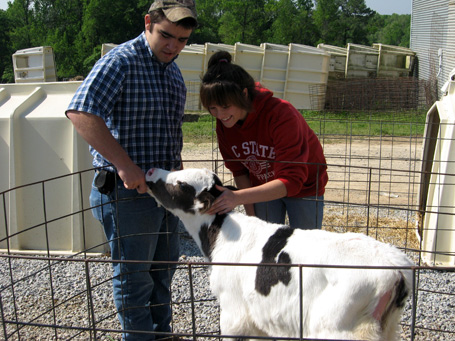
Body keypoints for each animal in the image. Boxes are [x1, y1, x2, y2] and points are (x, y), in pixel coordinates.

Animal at [146, 166, 414, 338]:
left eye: (182, 184)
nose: (149, 171)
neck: (220, 234)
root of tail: (396, 268)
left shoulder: (234, 312)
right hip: (386, 328)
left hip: (335, 326)